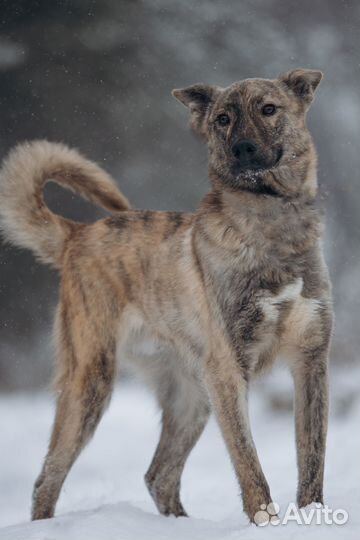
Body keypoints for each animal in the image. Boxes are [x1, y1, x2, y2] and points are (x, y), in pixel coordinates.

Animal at [0, 67, 332, 524]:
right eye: (223, 119)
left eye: (268, 109)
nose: (242, 149)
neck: (272, 227)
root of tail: (77, 234)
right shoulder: (229, 370)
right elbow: (249, 463)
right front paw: (264, 523)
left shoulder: (310, 361)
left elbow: (312, 459)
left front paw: (314, 517)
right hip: (92, 382)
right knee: (48, 476)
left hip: (191, 397)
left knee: (159, 475)